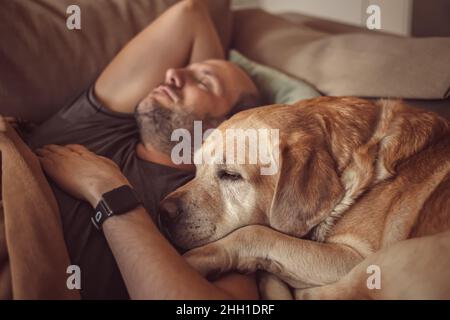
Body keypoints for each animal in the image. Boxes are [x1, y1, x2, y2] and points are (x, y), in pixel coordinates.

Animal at [158, 96, 450, 298]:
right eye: (197, 168)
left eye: (230, 174)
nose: (162, 212)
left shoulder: (355, 258)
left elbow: (256, 233)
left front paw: (197, 260)